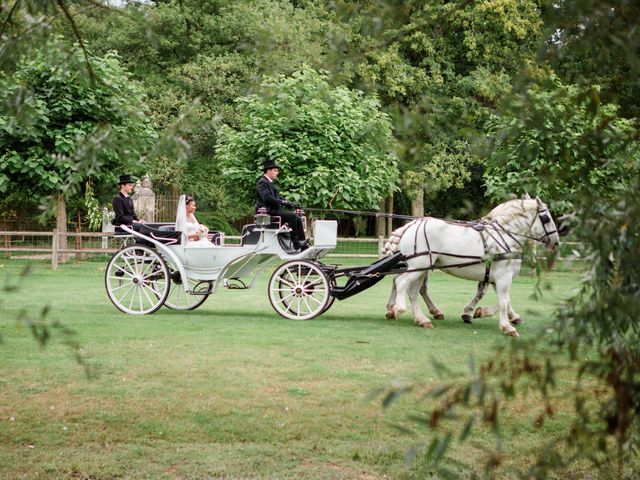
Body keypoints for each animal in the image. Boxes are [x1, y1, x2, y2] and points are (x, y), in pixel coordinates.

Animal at [382, 197, 556, 336]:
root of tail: (411, 225)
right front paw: (506, 326)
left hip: (420, 267)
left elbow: (500, 299)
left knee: (411, 289)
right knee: (402, 283)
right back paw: (398, 308)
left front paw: (476, 312)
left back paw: (420, 318)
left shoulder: (495, 278)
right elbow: (503, 301)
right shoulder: (503, 277)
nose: (556, 241)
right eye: (546, 218)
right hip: (418, 265)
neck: (504, 236)